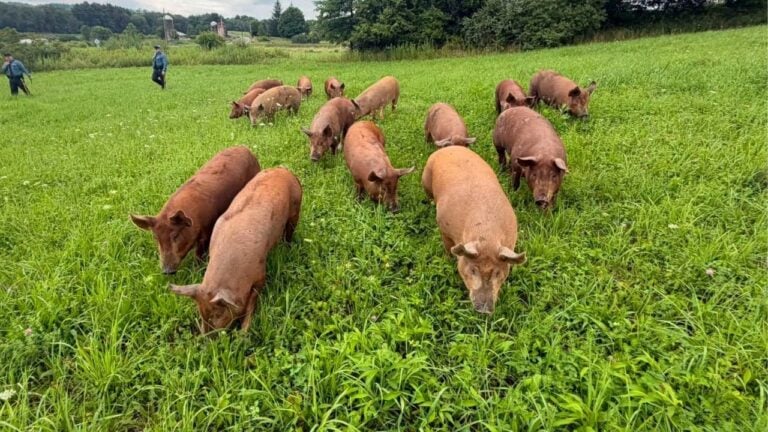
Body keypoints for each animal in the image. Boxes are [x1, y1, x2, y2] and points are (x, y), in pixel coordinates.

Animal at [130, 146, 261, 274]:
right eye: (156, 238)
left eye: (175, 236)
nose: (167, 271)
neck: (195, 219)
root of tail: (245, 148)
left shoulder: (208, 230)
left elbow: (199, 254)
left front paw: (197, 271)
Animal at [170, 167, 302, 333]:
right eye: (201, 313)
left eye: (218, 314)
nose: (207, 337)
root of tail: (283, 169)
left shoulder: (260, 273)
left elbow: (252, 303)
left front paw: (243, 332)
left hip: (296, 208)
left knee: (290, 232)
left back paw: (287, 248)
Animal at [421, 146, 526, 314]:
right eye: (472, 270)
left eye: (497, 273)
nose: (484, 309)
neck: (487, 237)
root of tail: (450, 147)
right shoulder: (443, 226)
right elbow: (448, 248)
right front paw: (448, 260)